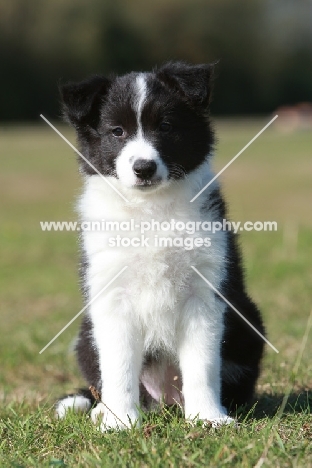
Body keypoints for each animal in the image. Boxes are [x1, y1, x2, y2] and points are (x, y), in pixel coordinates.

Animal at [54, 63, 264, 432]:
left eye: (165, 127)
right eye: (117, 131)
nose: (144, 167)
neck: (150, 209)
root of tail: (166, 399)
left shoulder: (203, 293)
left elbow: (202, 363)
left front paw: (208, 418)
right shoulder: (113, 296)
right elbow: (119, 365)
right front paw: (120, 422)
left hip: (250, 323)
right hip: (85, 334)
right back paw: (100, 410)